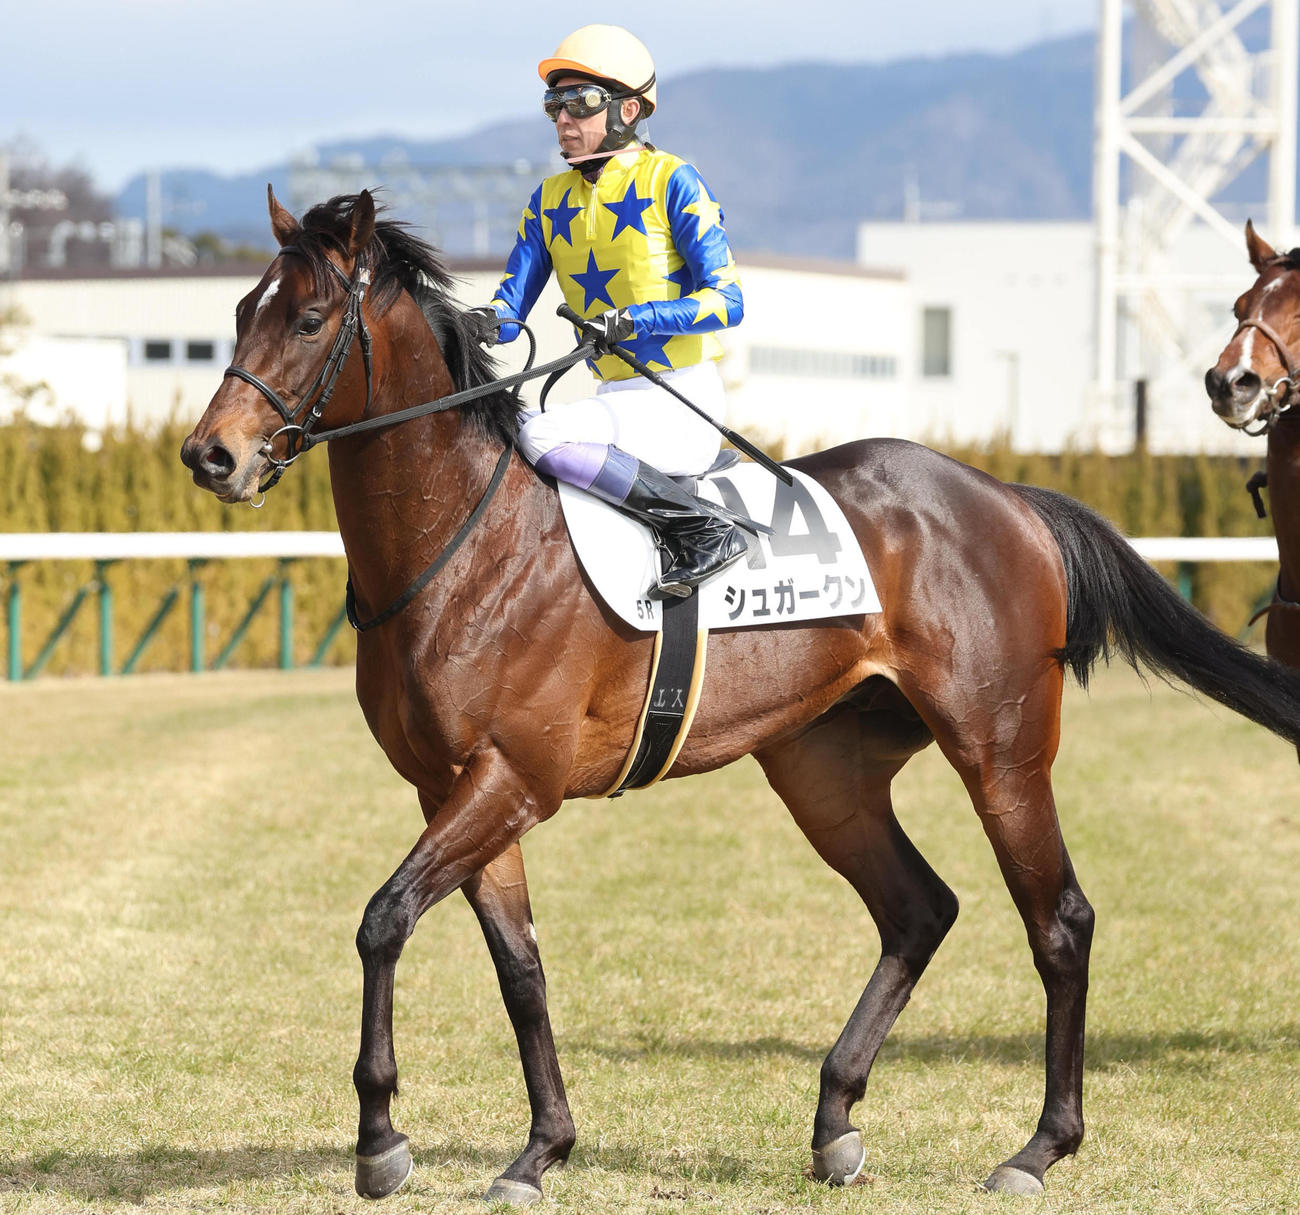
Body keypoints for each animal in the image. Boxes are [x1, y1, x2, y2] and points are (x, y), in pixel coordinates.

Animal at [181, 189, 1300, 1205]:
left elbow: (383, 920)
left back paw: (1038, 1148)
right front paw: (541, 1147)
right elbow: (519, 967)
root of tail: (1010, 499)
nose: (210, 454)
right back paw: (835, 1118)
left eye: (309, 319)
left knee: (1058, 919)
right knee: (918, 908)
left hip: (1000, 750)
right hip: (823, 767)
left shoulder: (513, 779)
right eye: (238, 311)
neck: (463, 542)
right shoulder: (453, 786)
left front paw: (380, 1138)